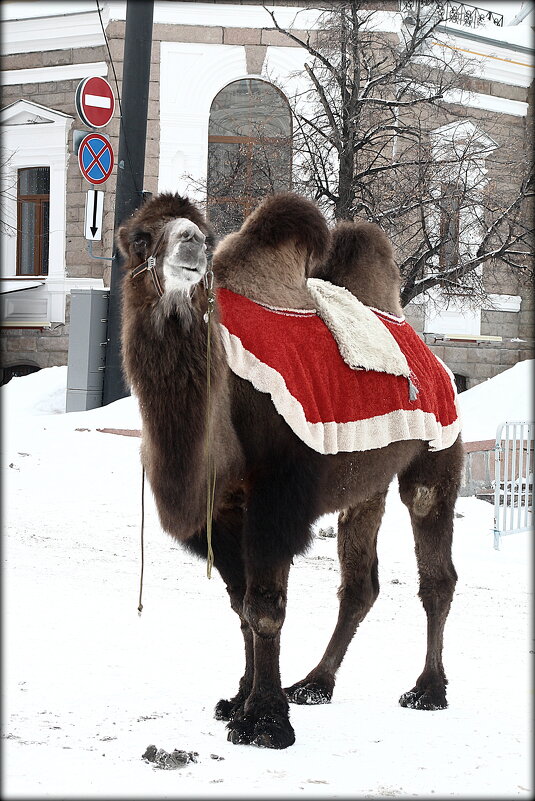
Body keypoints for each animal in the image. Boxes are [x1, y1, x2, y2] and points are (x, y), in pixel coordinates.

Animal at [119, 192, 462, 752]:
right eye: (140, 238)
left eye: (205, 236)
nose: (189, 241)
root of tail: (430, 353)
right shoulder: (223, 510)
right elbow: (240, 610)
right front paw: (238, 700)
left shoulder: (275, 499)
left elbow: (264, 609)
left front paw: (264, 721)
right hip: (364, 482)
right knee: (360, 583)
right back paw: (315, 684)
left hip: (438, 448)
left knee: (436, 571)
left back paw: (427, 690)